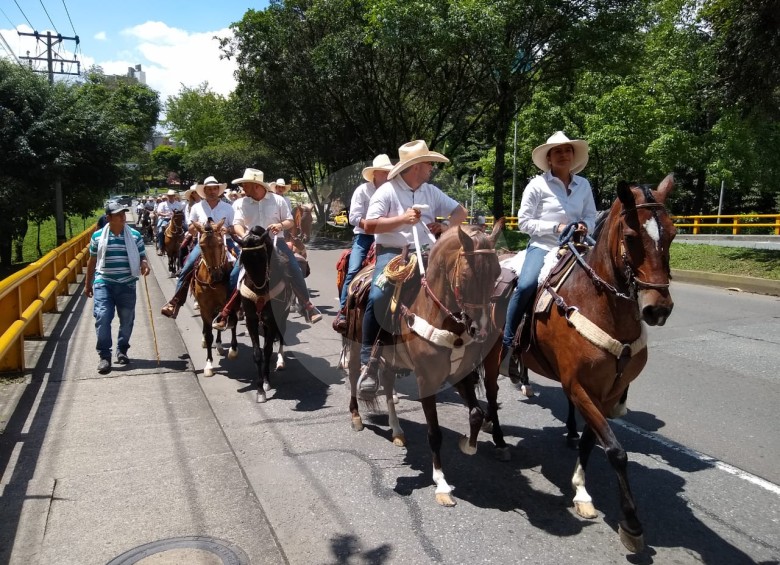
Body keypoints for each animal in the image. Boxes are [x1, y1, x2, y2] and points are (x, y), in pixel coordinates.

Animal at [190, 218, 236, 376]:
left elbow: (231, 322)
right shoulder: (205, 307)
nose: (217, 275)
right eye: (201, 246)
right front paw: (209, 364)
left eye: (220, 243)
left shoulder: (228, 303)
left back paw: (222, 346)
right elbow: (209, 334)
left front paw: (233, 350)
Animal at [238, 225, 292, 400]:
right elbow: (257, 353)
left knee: (280, 338)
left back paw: (280, 362)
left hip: (281, 318)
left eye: (262, 257)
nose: (261, 291)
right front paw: (260, 389)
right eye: (244, 261)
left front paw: (267, 382)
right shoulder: (251, 320)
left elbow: (268, 351)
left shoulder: (273, 320)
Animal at [342, 220, 506, 506]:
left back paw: (397, 431)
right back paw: (356, 416)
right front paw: (441, 483)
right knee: (354, 376)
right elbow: (434, 433)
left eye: (497, 273)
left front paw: (468, 444)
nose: (482, 330)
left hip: (391, 356)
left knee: (387, 384)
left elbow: (476, 413)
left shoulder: (460, 375)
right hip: (354, 341)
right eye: (466, 276)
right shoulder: (426, 380)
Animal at [494, 175, 676, 552]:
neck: (601, 305)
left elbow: (595, 443)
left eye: (673, 233)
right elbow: (617, 452)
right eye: (632, 236)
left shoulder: (607, 392)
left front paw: (581, 490)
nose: (658, 309)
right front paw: (631, 523)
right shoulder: (577, 385)